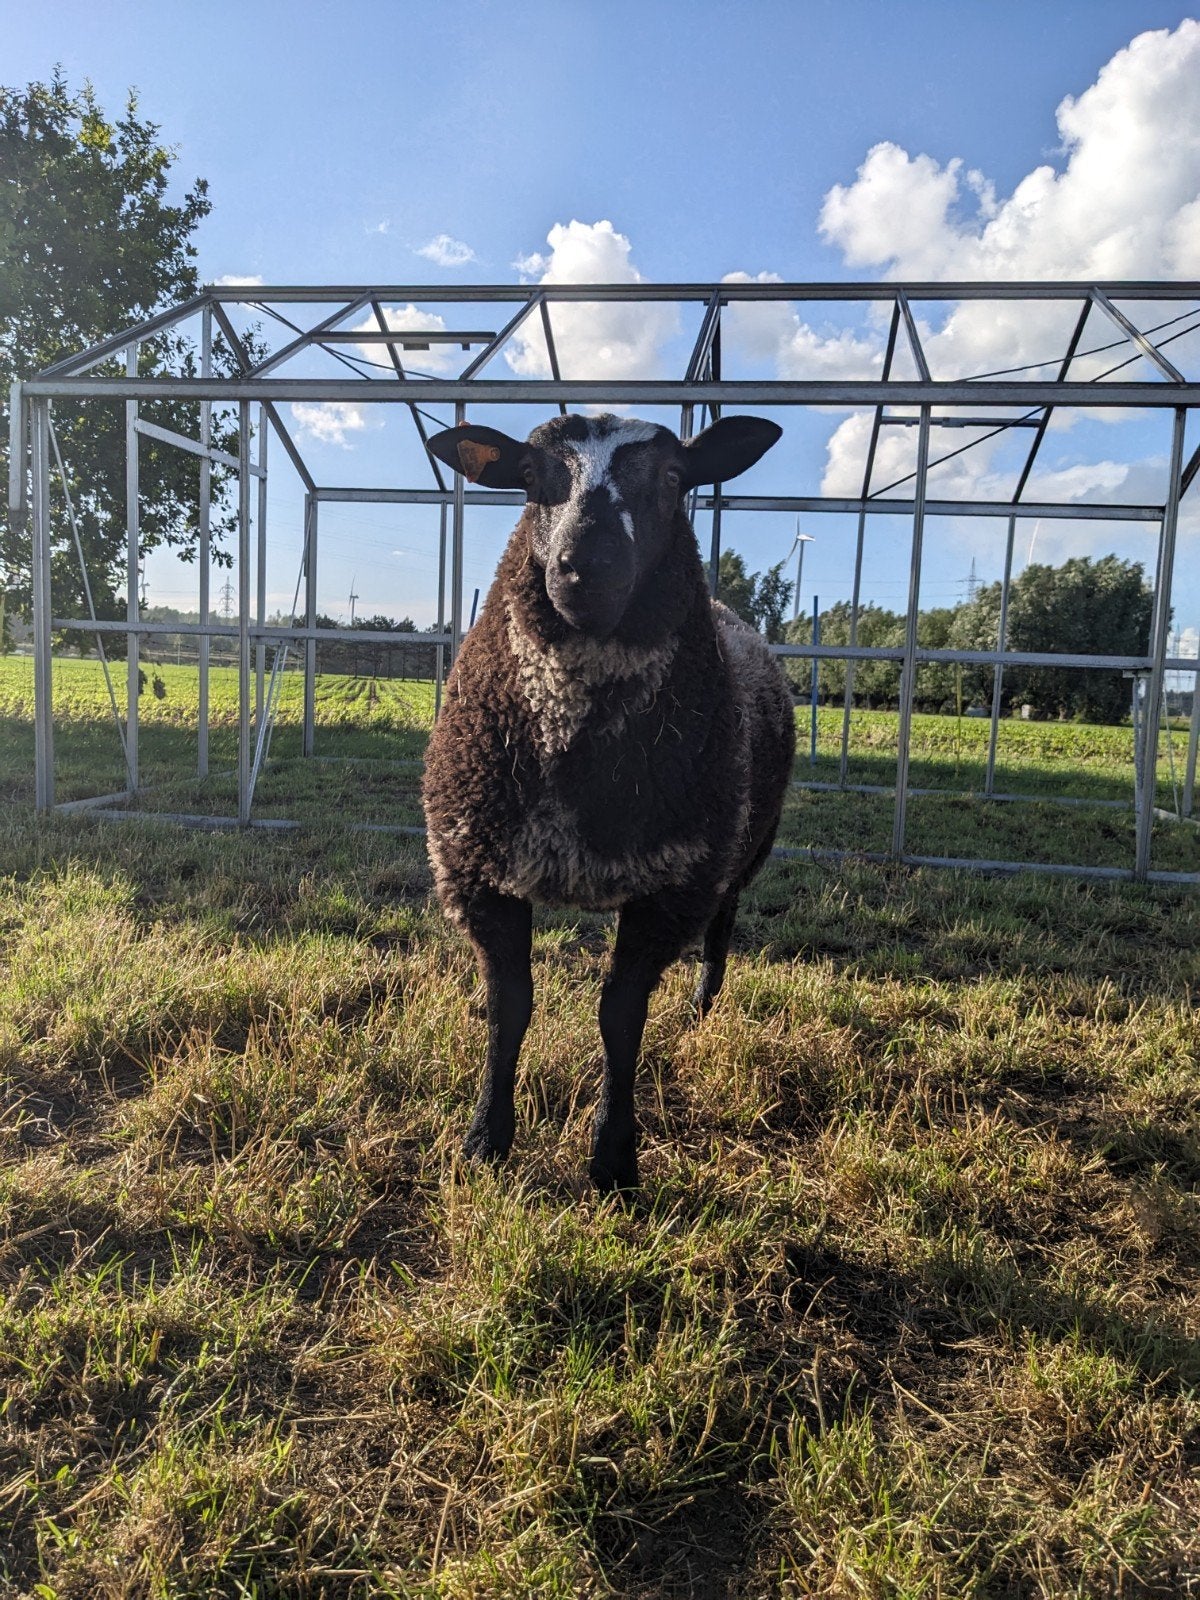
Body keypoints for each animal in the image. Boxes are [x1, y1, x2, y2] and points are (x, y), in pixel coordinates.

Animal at [422, 412, 794, 1191]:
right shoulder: (477, 868)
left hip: (743, 842)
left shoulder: (673, 882)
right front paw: (485, 1141)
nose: (585, 569)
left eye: (676, 478)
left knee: (725, 919)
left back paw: (704, 1006)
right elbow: (510, 1009)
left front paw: (614, 1159)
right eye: (529, 477)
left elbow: (620, 1019)